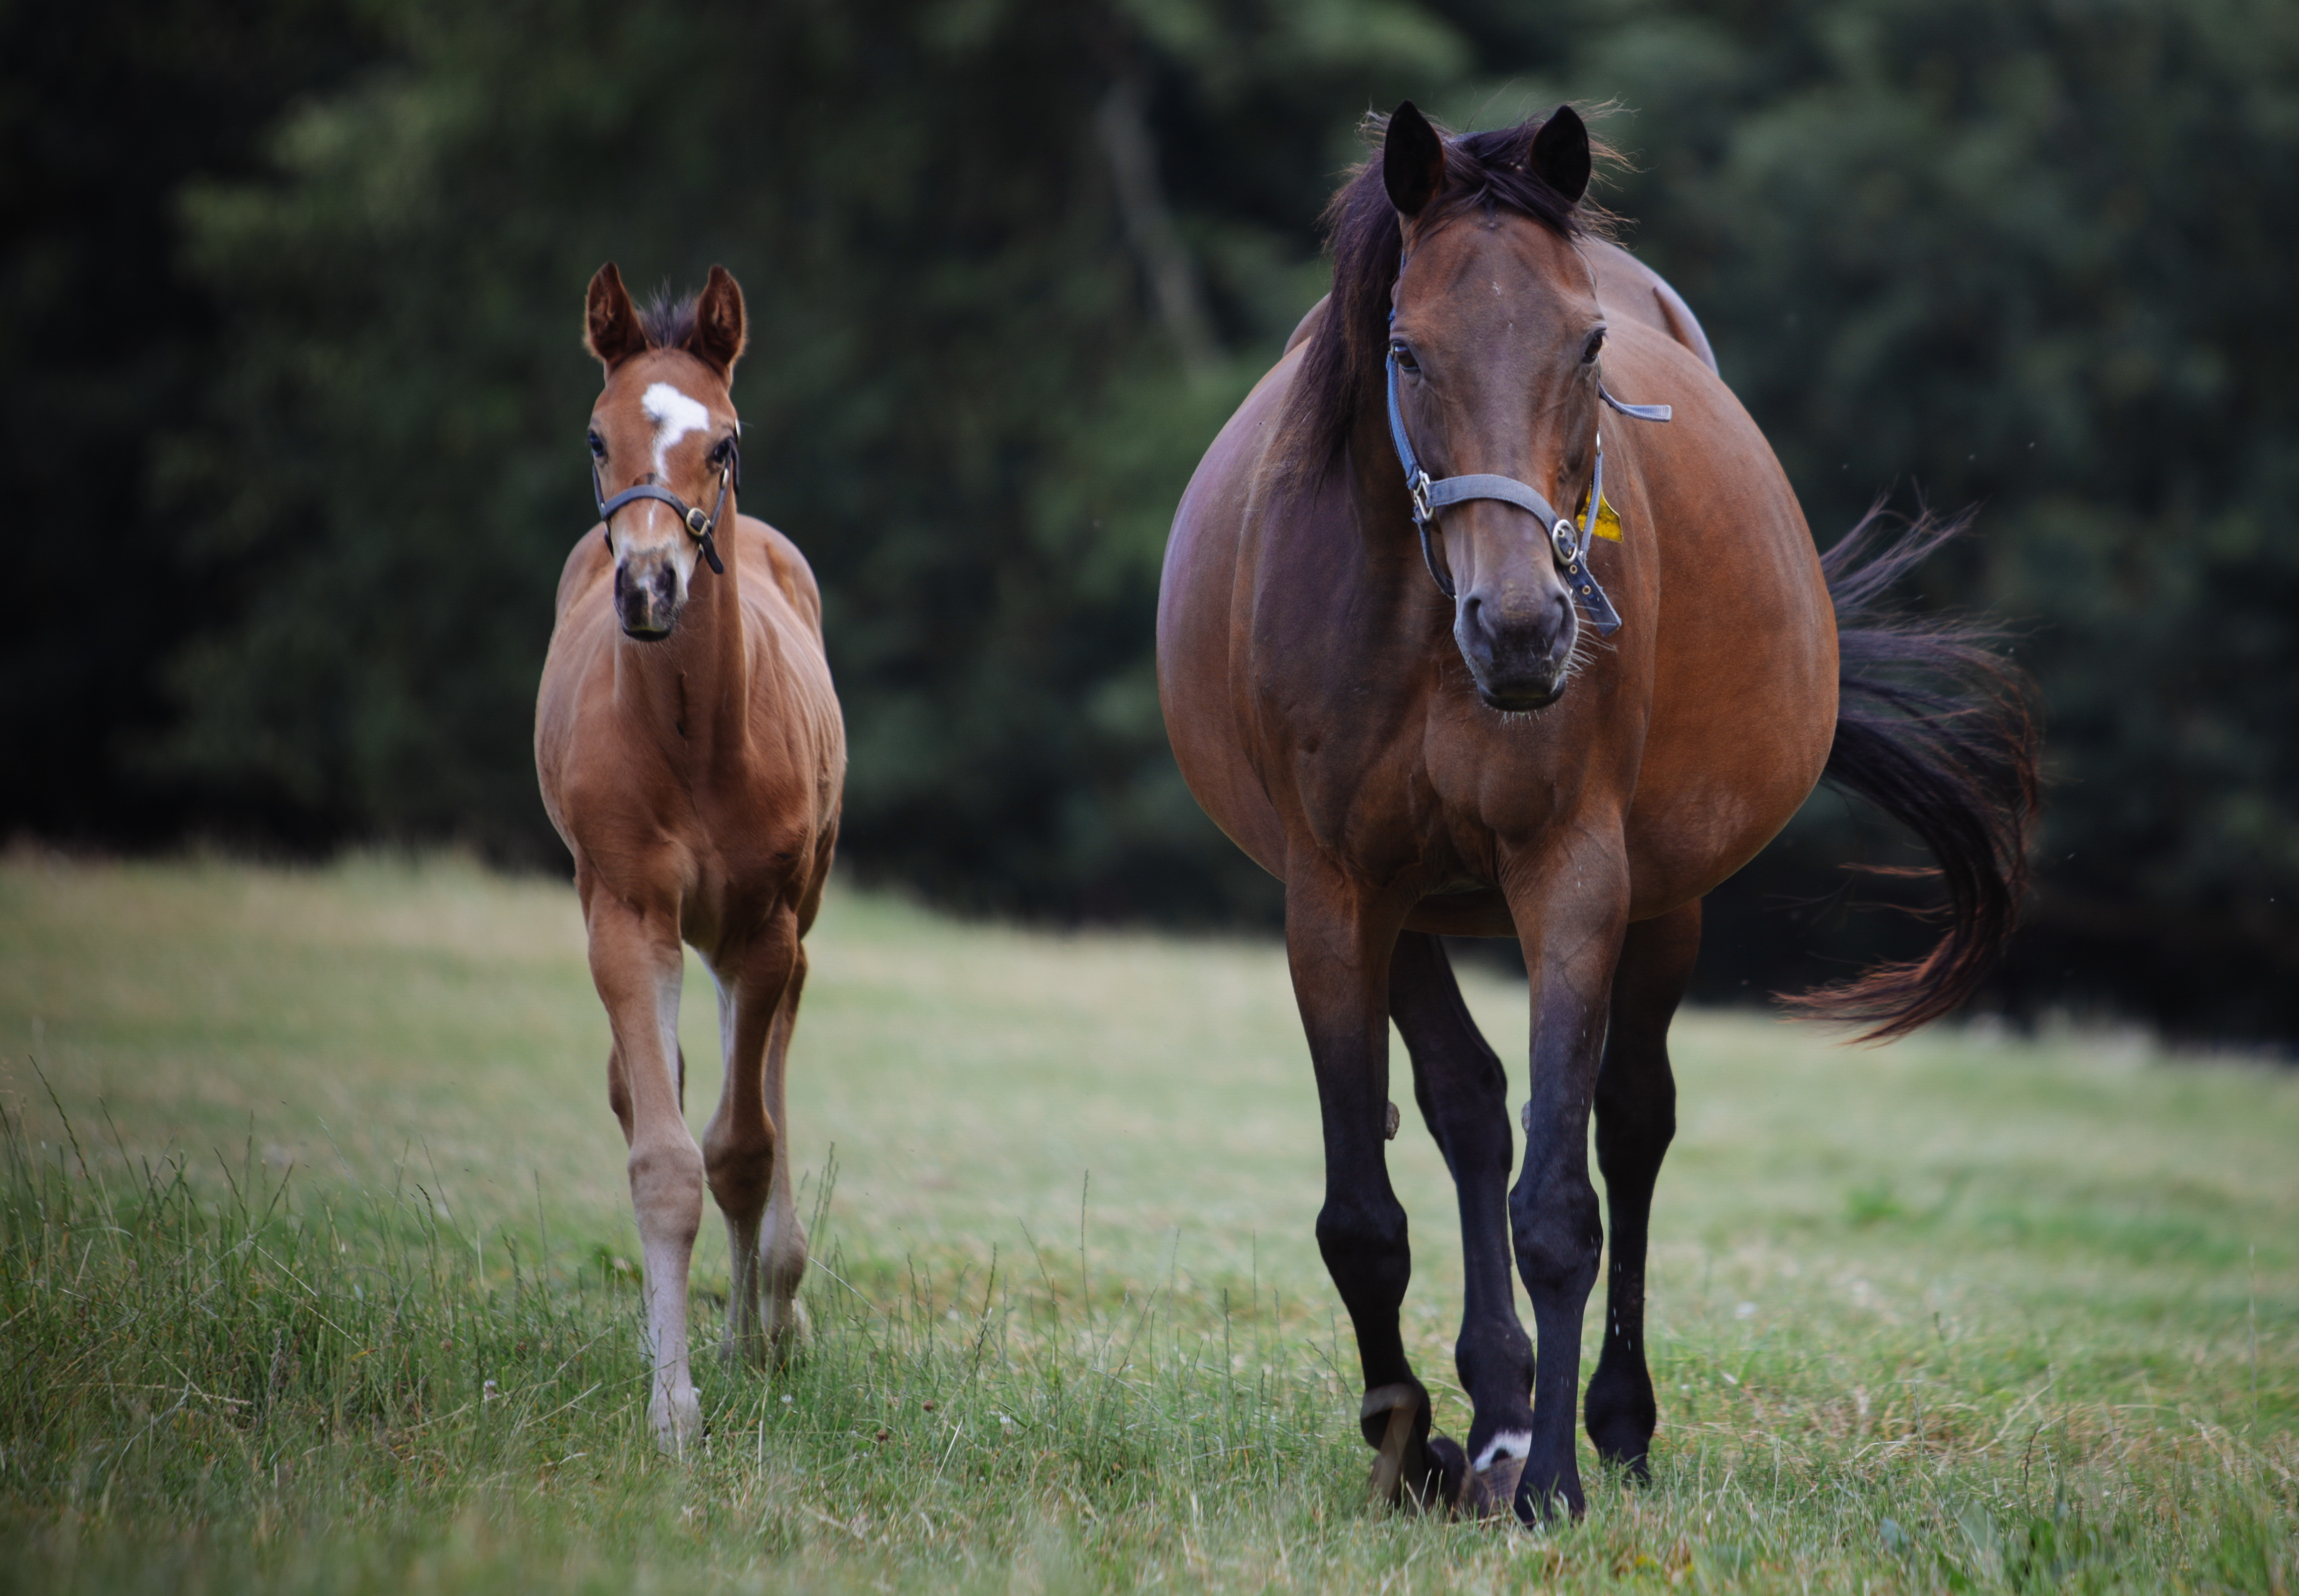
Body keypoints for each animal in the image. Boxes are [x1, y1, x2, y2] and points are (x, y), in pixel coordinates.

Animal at [536, 265, 846, 1462]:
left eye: (723, 441)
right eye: (595, 435)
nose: (648, 589)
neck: (696, 737)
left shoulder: (761, 925)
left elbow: (741, 1145)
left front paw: (750, 1341)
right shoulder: (628, 911)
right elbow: (664, 1157)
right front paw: (671, 1404)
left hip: (784, 922)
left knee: (765, 1072)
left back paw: (778, 1305)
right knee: (650, 1089)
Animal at [1159, 106, 2041, 1536]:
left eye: (1584, 347)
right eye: (1405, 350)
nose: (1523, 629)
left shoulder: (1572, 880)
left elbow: (1561, 1202)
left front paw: (1555, 1482)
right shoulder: (1332, 895)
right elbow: (1364, 1213)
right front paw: (1409, 1443)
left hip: (1663, 902)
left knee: (1628, 1125)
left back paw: (1604, 1422)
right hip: (1408, 907)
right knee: (1466, 1105)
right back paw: (1492, 1410)